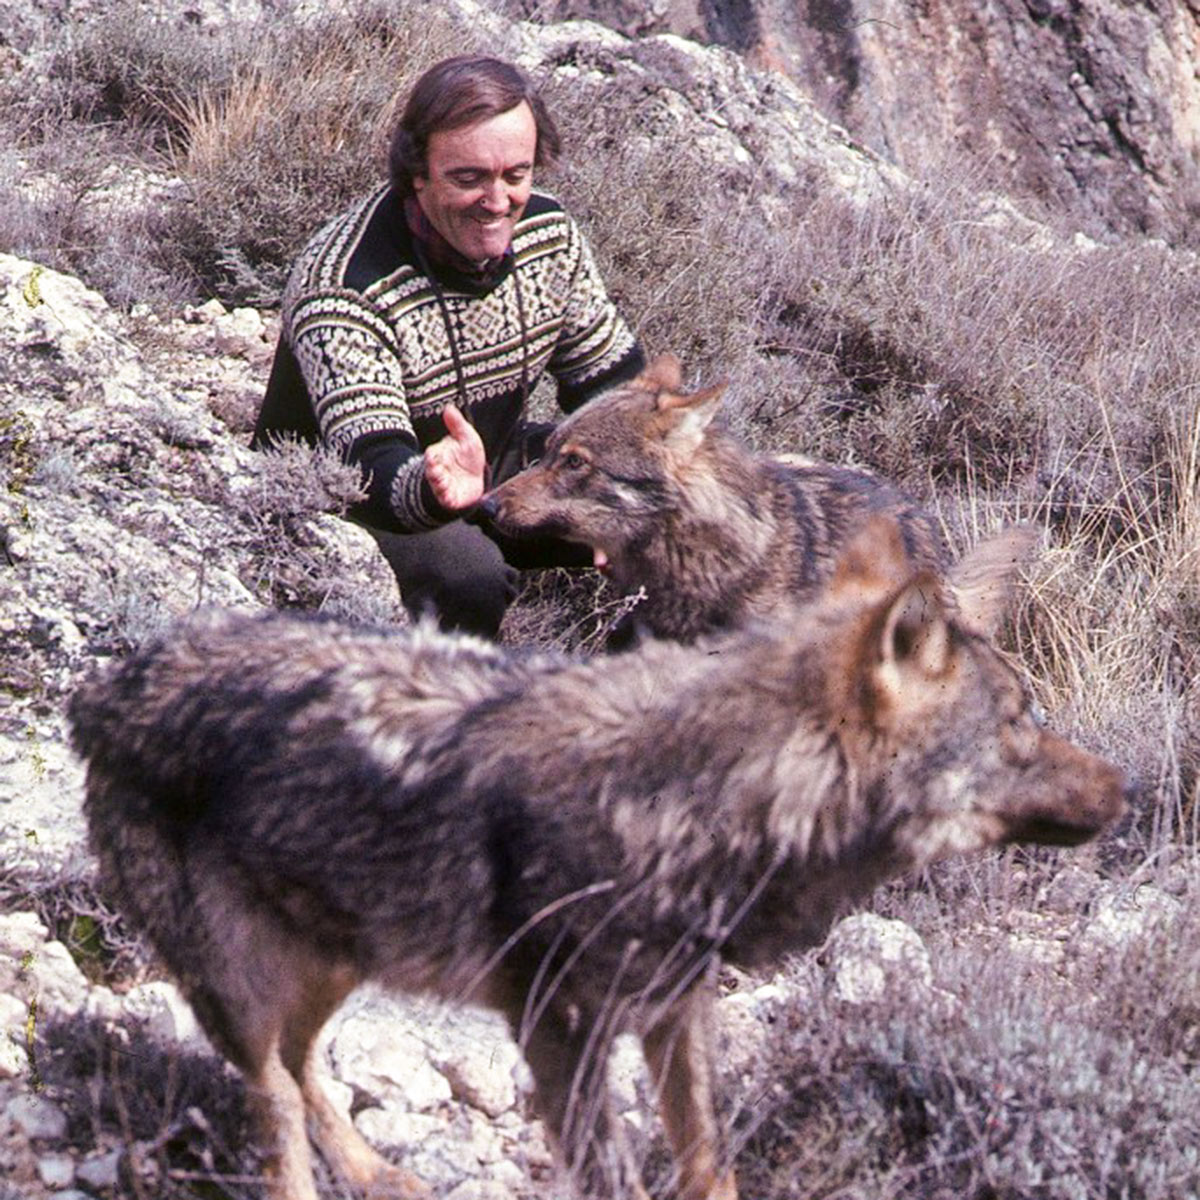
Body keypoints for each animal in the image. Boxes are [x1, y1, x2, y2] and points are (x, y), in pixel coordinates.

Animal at [72, 523, 1123, 1200]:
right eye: (1021, 721)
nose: (1127, 789)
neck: (707, 804)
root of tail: (108, 684)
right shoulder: (561, 1036)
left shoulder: (677, 1014)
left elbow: (712, 1170)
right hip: (250, 988)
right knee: (276, 1103)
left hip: (340, 956)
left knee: (301, 1070)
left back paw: (378, 1175)